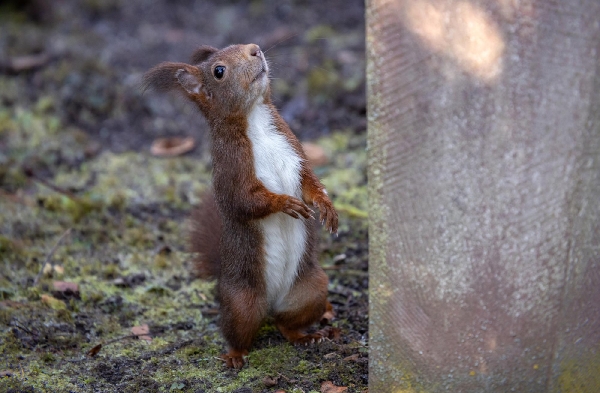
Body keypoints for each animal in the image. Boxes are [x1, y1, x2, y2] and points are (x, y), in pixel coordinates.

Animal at [141, 43, 338, 368]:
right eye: (219, 71)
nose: (255, 49)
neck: (256, 119)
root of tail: (270, 303)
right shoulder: (231, 171)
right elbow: (245, 201)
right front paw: (284, 202)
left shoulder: (294, 151)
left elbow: (309, 183)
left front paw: (327, 205)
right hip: (241, 302)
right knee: (238, 331)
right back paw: (234, 355)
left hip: (311, 289)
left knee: (286, 324)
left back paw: (305, 336)